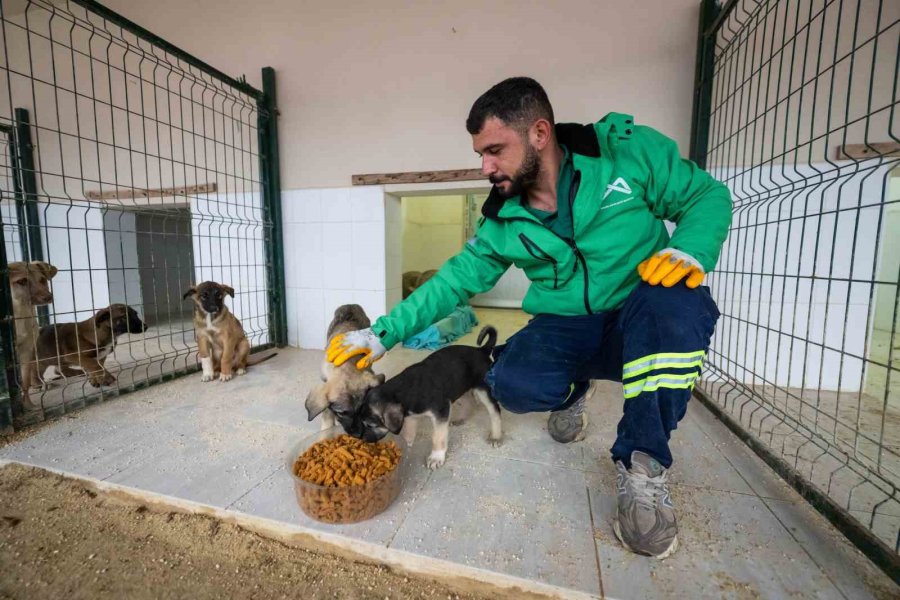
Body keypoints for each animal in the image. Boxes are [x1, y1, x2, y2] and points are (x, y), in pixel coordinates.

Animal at [8, 258, 57, 408]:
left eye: (42, 279)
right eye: (22, 281)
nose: (48, 297)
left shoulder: (26, 350)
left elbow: (25, 381)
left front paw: (28, 405)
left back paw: (38, 383)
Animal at [306, 304, 384, 432]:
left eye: (360, 411)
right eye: (340, 413)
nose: (357, 433)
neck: (346, 366)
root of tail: (350, 305)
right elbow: (326, 411)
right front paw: (327, 427)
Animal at [346, 326, 500, 472]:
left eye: (371, 425)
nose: (362, 439)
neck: (404, 390)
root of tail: (481, 350)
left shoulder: (441, 411)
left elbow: (438, 437)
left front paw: (436, 457)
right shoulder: (411, 413)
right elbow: (409, 424)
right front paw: (409, 439)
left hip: (484, 389)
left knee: (495, 412)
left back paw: (496, 436)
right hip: (461, 386)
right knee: (470, 401)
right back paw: (462, 419)